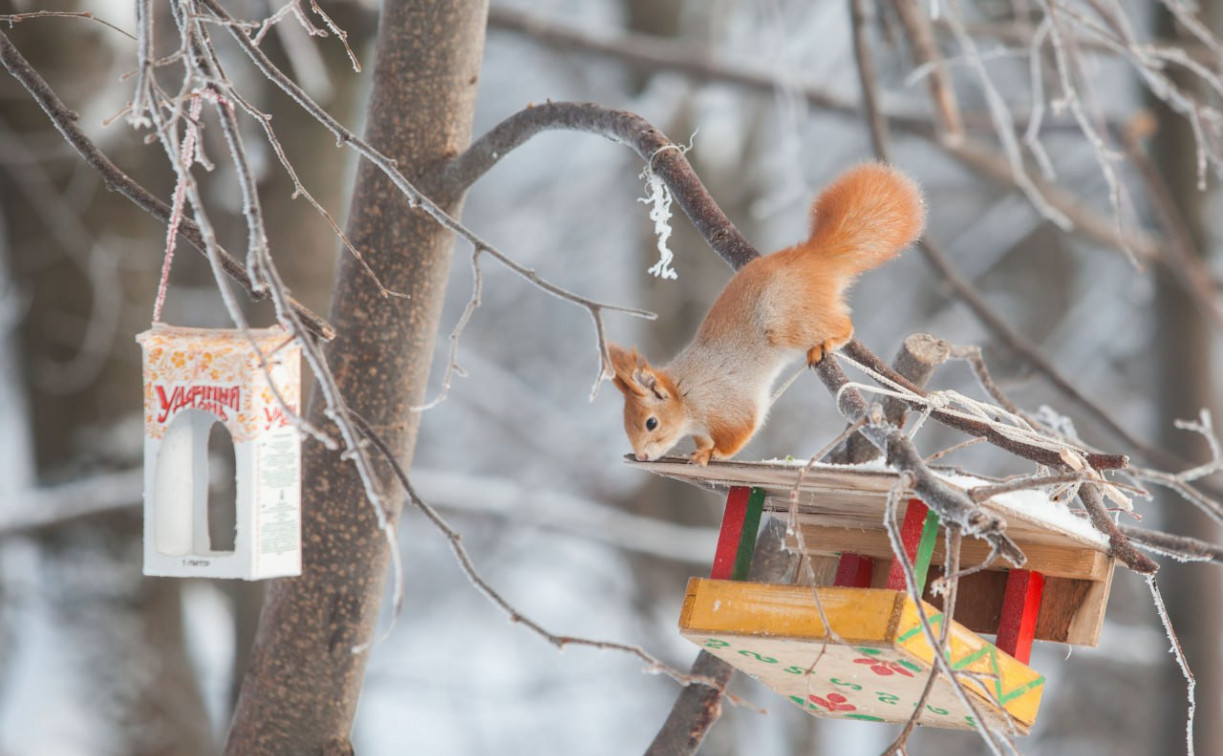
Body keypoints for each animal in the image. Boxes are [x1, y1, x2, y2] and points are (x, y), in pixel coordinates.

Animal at [606, 161, 919, 462]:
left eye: (651, 423)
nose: (642, 456)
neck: (686, 392)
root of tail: (812, 258)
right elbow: (703, 438)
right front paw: (700, 449)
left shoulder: (729, 404)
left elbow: (740, 432)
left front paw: (712, 454)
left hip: (791, 320)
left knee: (844, 326)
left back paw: (826, 343)